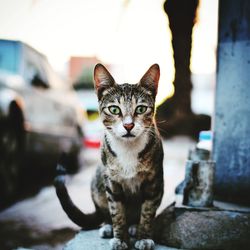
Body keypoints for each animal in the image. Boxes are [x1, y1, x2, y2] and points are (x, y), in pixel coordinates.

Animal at [54, 63, 164, 249]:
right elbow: (117, 212)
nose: (128, 125)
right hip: (98, 181)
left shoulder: (153, 181)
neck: (128, 148)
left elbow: (148, 212)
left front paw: (143, 237)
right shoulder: (112, 182)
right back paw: (107, 226)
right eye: (114, 109)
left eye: (141, 109)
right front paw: (120, 238)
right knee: (105, 212)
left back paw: (134, 227)